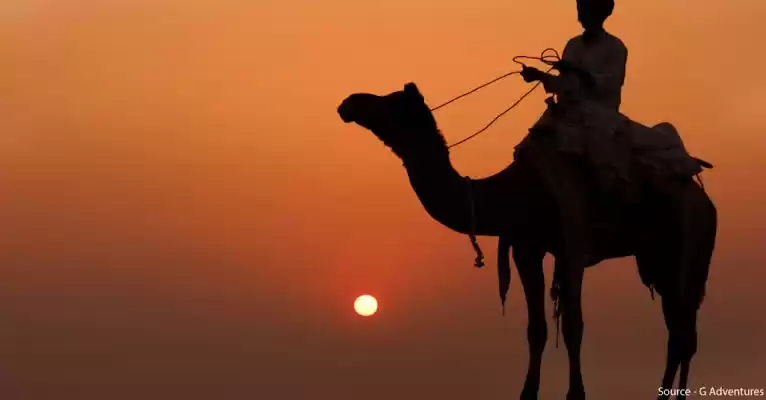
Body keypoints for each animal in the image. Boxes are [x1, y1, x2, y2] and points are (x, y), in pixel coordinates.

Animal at [337, 82, 717, 400]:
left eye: (390, 103)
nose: (349, 102)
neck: (511, 193)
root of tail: (706, 201)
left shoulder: (572, 245)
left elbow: (574, 325)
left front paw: (576, 396)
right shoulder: (526, 248)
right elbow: (537, 329)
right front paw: (528, 394)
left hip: (690, 245)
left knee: (684, 332)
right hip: (658, 259)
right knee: (680, 331)